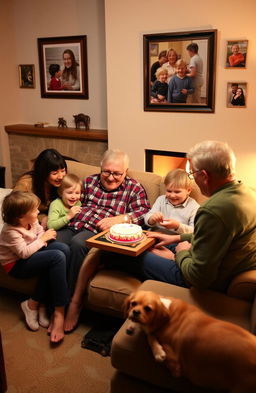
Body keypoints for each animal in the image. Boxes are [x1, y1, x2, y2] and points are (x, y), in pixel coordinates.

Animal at [125, 288, 256, 392]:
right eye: (133, 303)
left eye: (148, 309)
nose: (135, 312)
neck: (167, 313)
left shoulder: (175, 366)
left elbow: (150, 336)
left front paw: (158, 352)